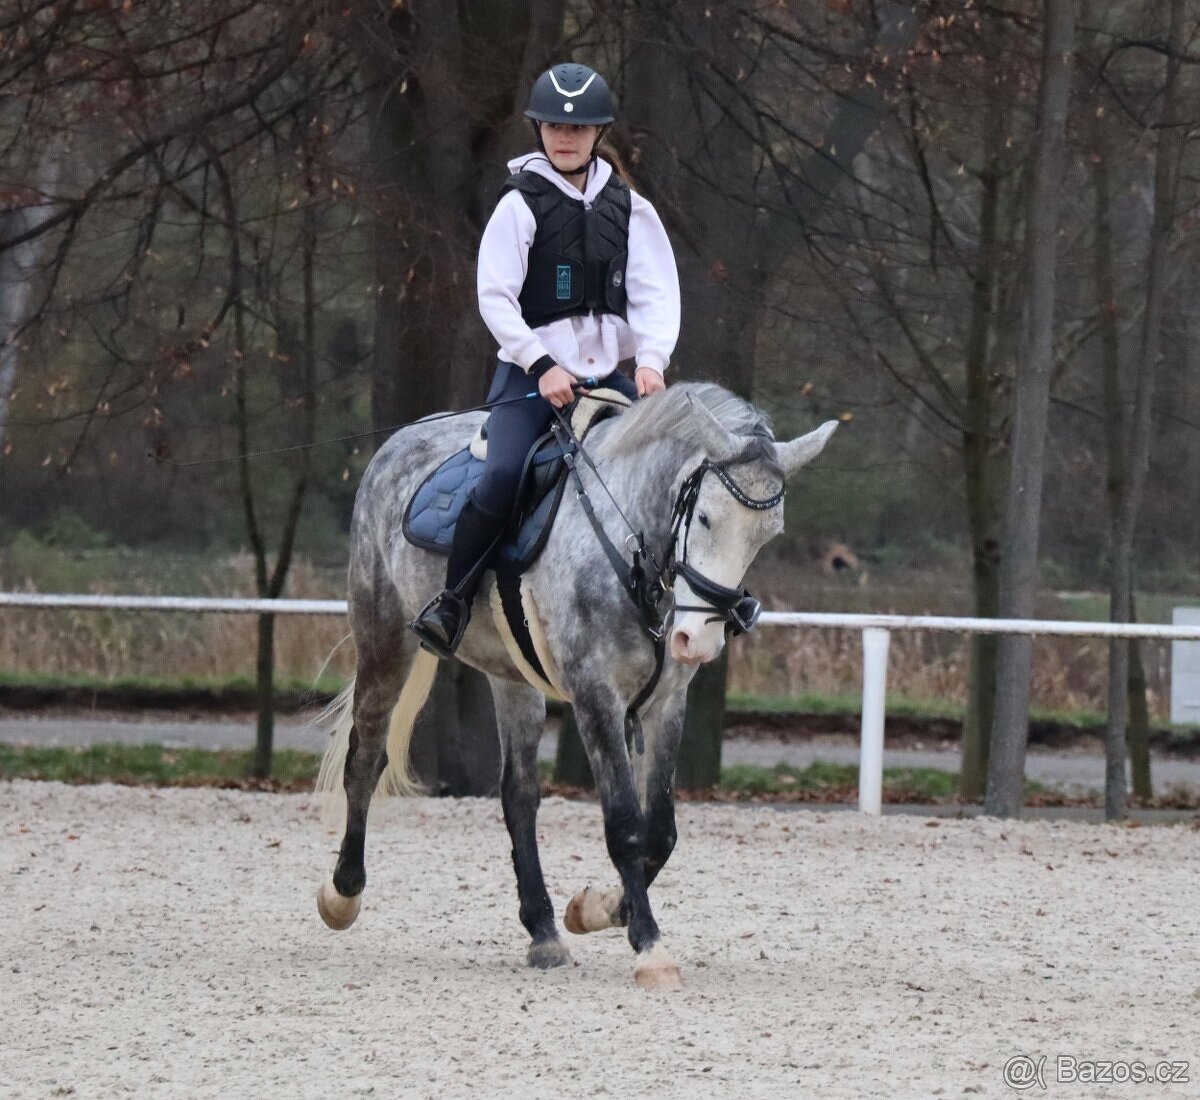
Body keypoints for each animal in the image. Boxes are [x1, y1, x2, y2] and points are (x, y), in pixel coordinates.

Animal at [314, 381, 837, 989]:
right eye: (704, 518)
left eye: (767, 535)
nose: (697, 640)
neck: (633, 548)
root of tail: (397, 442)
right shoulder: (596, 696)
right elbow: (626, 825)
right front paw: (649, 946)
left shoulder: (665, 704)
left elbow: (661, 832)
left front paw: (596, 909)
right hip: (383, 639)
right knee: (365, 757)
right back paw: (342, 894)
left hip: (512, 677)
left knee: (518, 795)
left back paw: (543, 932)